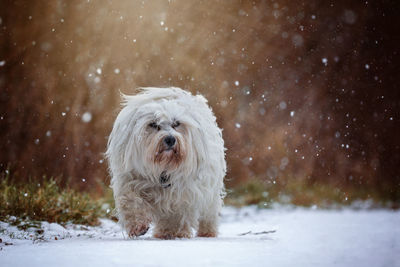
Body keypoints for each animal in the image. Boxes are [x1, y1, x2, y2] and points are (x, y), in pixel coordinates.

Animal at [105, 87, 225, 240]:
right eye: (153, 124)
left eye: (176, 123)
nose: (170, 139)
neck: (163, 168)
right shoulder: (129, 179)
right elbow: (130, 200)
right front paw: (138, 226)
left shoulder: (183, 193)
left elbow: (176, 215)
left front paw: (174, 232)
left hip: (211, 191)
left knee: (209, 213)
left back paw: (207, 232)